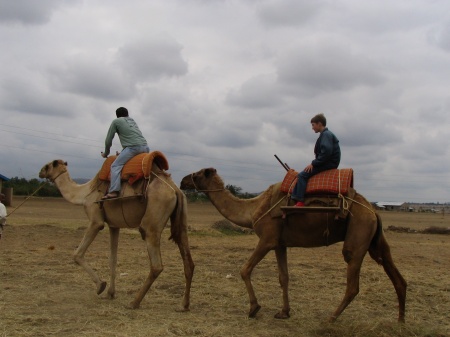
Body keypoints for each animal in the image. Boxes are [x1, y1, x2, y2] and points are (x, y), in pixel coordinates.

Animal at [41, 159, 196, 310]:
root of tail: (175, 190)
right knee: (188, 260)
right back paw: (184, 305)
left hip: (153, 220)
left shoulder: (96, 221)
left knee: (156, 264)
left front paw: (100, 286)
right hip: (182, 218)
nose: (40, 172)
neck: (85, 193)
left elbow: (77, 254)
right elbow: (113, 259)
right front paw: (110, 293)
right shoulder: (114, 226)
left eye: (47, 166)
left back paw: (134, 302)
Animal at [180, 167, 408, 322]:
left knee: (352, 283)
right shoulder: (280, 244)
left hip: (358, 234)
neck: (253, 209)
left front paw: (254, 308)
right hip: (375, 240)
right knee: (397, 276)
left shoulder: (267, 239)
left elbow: (245, 270)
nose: (183, 180)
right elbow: (284, 277)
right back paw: (400, 320)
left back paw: (331, 318)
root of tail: (373, 211)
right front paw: (284, 312)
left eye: (198, 174)